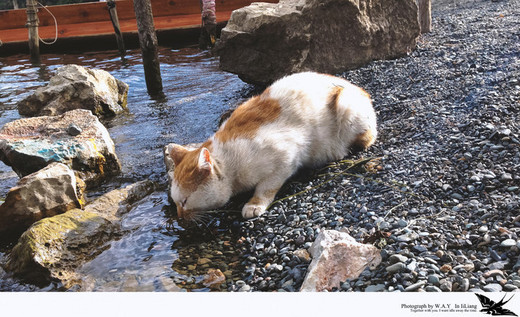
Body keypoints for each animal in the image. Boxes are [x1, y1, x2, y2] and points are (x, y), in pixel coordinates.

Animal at [169, 71, 376, 220]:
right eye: (175, 203)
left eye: (184, 201)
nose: (179, 217)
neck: (229, 163)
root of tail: (359, 88)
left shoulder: (287, 157)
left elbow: (266, 187)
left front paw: (254, 204)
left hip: (346, 107)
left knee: (366, 138)